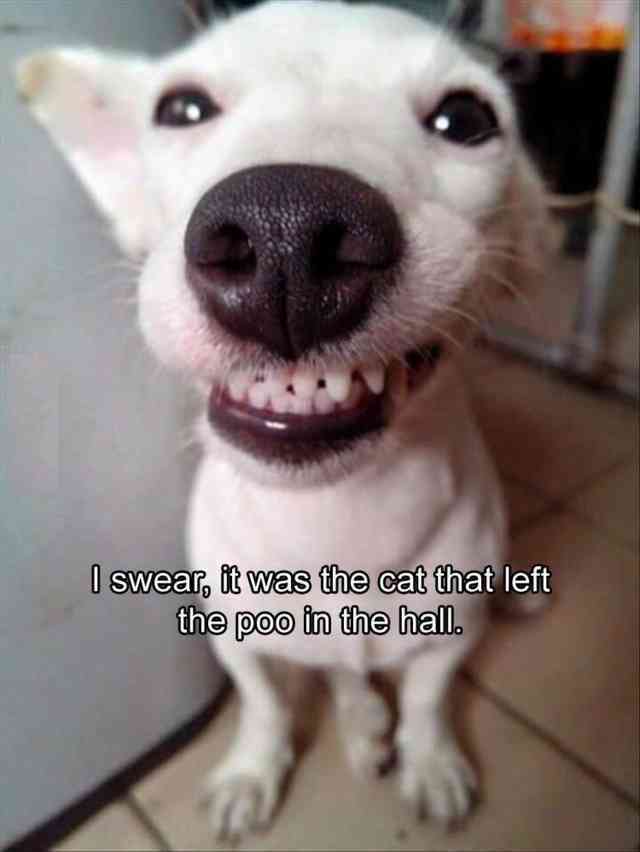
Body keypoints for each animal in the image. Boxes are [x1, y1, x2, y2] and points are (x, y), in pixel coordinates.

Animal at [16, 0, 544, 840]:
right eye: (181, 108)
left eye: (466, 118)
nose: (284, 233)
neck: (331, 519)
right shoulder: (235, 638)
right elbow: (263, 703)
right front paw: (252, 769)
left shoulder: (448, 637)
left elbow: (429, 702)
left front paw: (430, 759)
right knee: (342, 676)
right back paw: (362, 725)